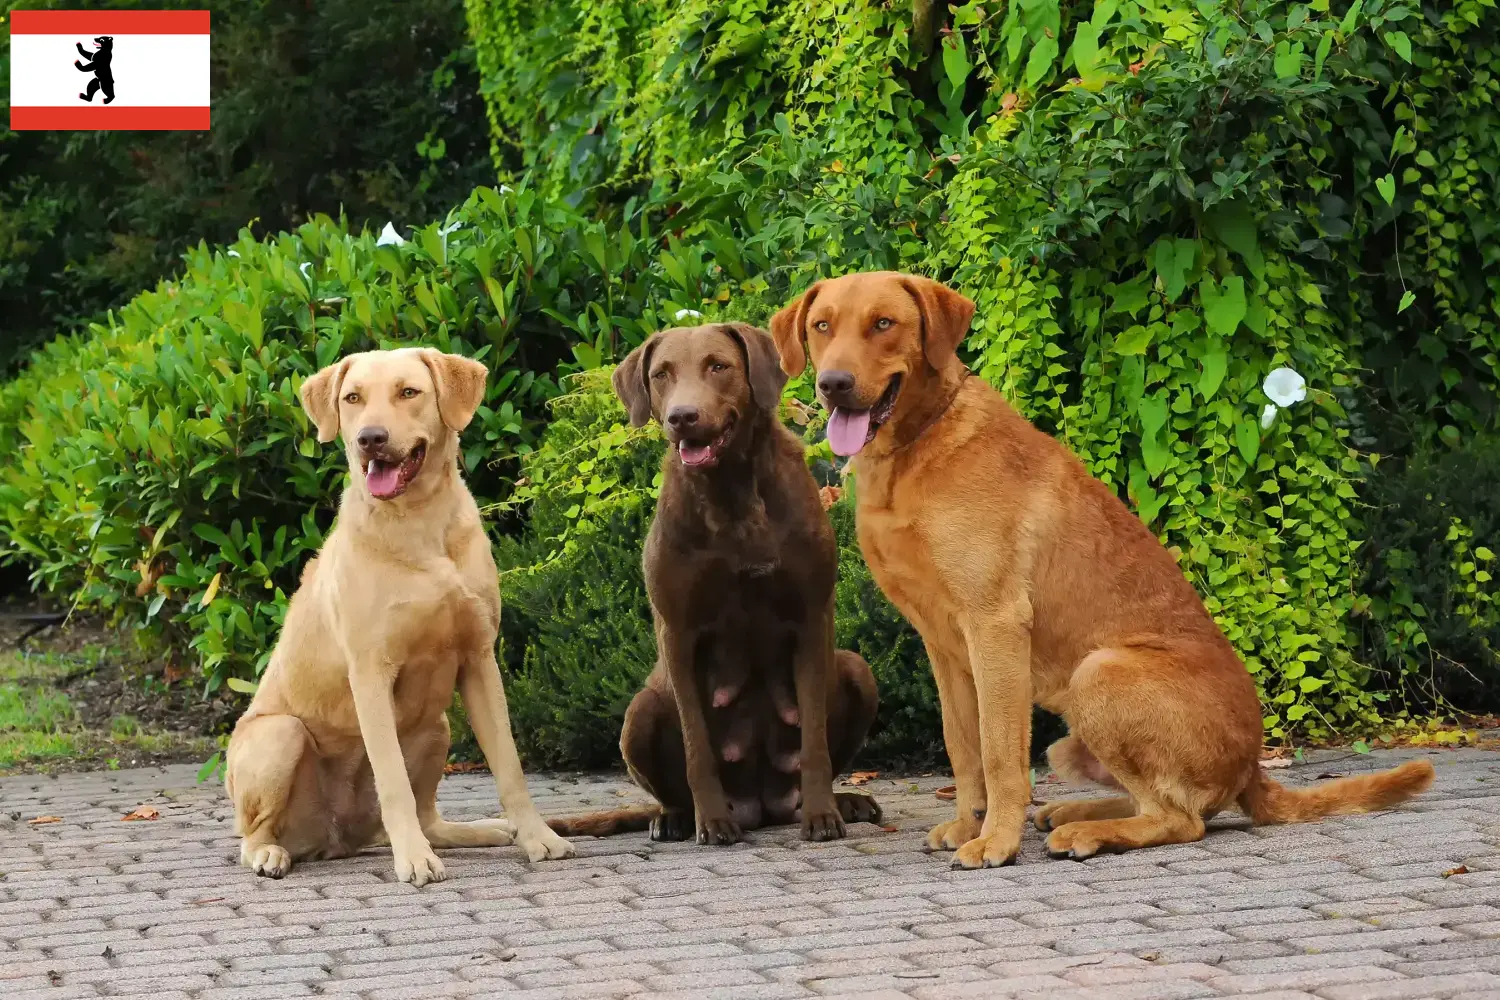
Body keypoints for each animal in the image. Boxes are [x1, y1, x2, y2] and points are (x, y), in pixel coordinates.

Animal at [223, 346, 573, 881]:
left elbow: (510, 766)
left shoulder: (479, 659)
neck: (419, 522)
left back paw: (481, 830)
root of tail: (335, 841)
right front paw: (413, 860)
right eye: (352, 398)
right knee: (253, 832)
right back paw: (270, 853)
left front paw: (538, 838)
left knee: (430, 815)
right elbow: (392, 781)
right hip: (279, 736)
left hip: (437, 726)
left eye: (409, 392)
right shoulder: (371, 672)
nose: (370, 438)